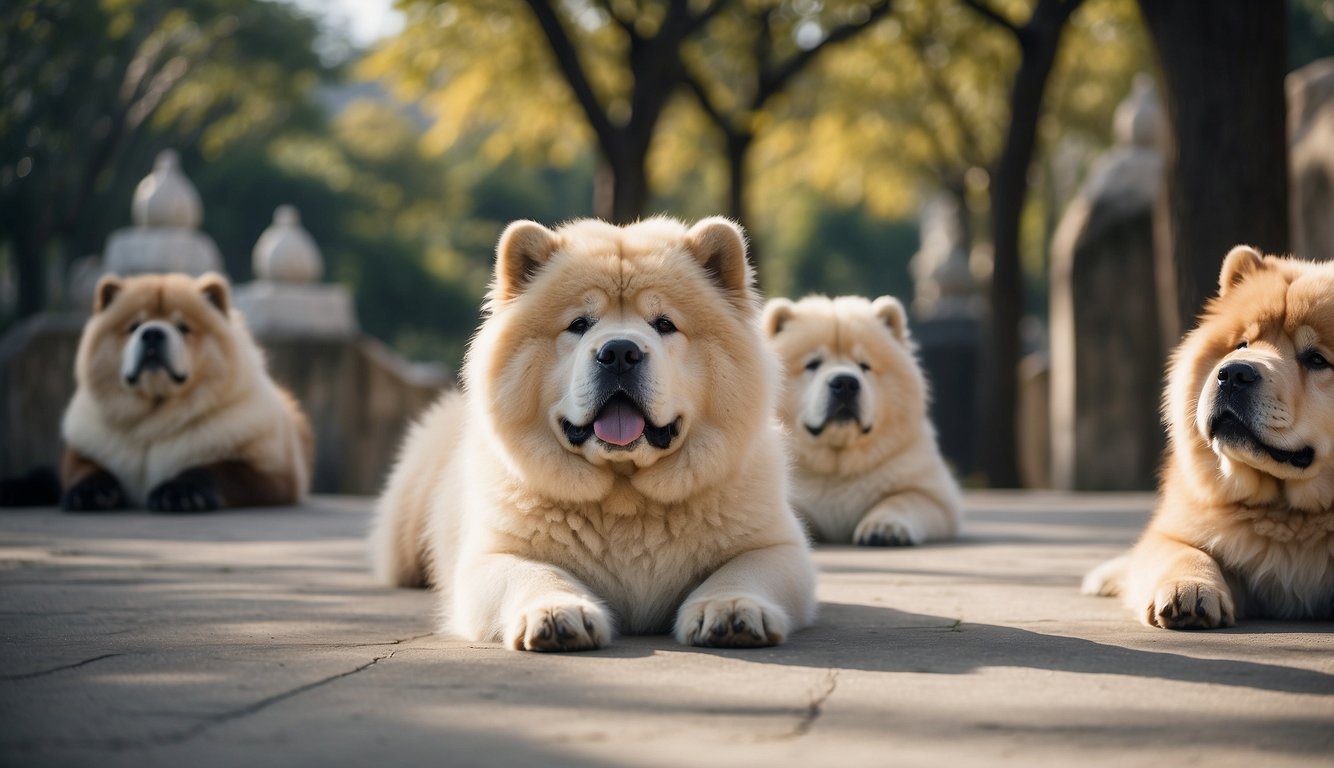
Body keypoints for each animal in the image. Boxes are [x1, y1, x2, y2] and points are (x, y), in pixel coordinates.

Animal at [60, 273, 312, 512]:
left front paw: (180, 493)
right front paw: (90, 492)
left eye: (183, 327)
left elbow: (214, 470)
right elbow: (86, 469)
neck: (154, 424)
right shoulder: (81, 452)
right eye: (133, 326)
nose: (152, 333)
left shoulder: (273, 472)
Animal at [370, 217, 816, 653]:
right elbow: (534, 573)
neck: (625, 496)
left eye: (664, 324)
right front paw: (556, 614)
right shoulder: (493, 554)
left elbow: (744, 570)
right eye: (579, 325)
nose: (619, 352)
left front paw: (732, 608)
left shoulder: (776, 546)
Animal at [763, 293, 960, 546]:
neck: (836, 467)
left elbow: (901, 499)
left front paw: (884, 528)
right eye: (813, 364)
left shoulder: (932, 492)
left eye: (864, 365)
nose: (845, 383)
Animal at [1083, 249, 1334, 626]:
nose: (1234, 373)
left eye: (1316, 359)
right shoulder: (1174, 529)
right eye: (1241, 345)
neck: (1286, 514)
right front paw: (1189, 590)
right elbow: (1183, 551)